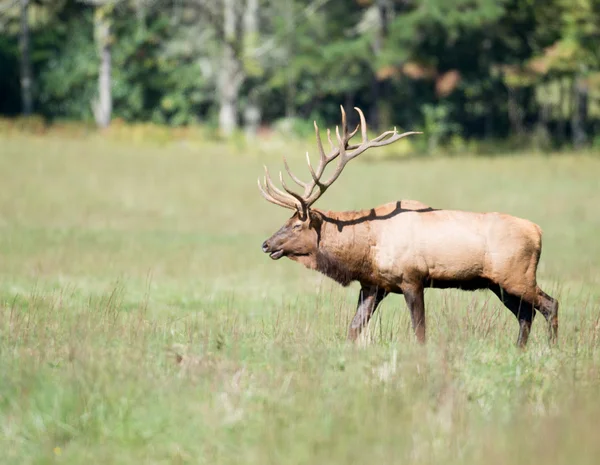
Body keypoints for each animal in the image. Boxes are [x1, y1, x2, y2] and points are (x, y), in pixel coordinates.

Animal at [256, 107, 556, 346]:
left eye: (297, 224)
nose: (266, 244)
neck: (363, 250)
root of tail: (538, 231)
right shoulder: (373, 285)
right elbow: (354, 328)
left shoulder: (412, 278)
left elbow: (419, 330)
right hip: (498, 283)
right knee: (526, 314)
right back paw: (520, 349)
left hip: (517, 276)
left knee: (549, 305)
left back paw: (552, 348)